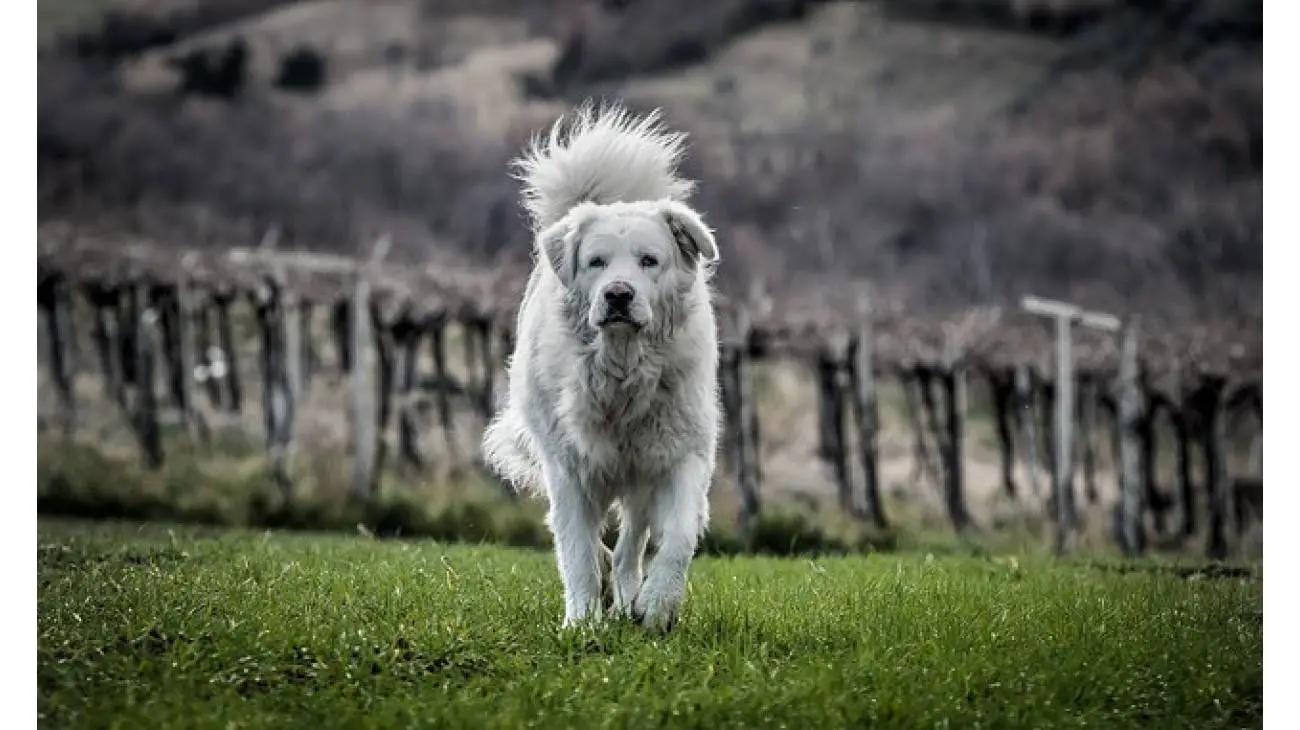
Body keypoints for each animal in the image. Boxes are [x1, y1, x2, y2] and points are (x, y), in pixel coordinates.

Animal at [483, 102, 722, 631]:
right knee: (591, 539)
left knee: (632, 538)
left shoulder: (681, 454)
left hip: (642, 472)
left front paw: (657, 605)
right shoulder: (569, 466)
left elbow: (677, 536)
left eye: (649, 261)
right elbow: (574, 548)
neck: (621, 368)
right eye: (596, 262)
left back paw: (630, 593)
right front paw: (582, 622)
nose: (618, 294)